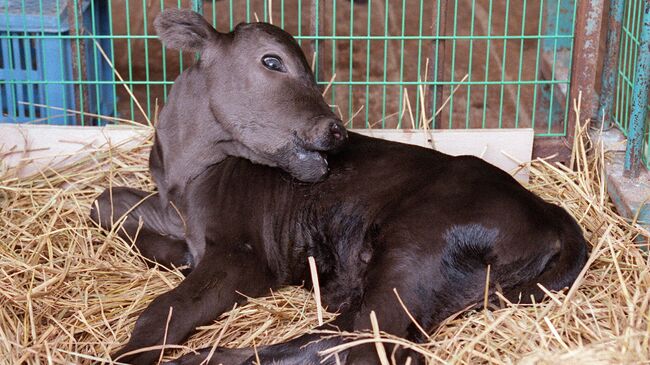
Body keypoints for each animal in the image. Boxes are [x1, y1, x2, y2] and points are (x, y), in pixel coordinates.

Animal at [91, 8, 588, 364]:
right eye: (271, 61)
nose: (337, 130)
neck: (188, 173)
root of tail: (552, 214)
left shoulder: (247, 255)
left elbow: (167, 307)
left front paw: (128, 354)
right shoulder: (170, 210)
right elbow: (105, 203)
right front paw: (174, 255)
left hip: (418, 247)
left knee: (366, 340)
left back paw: (200, 359)